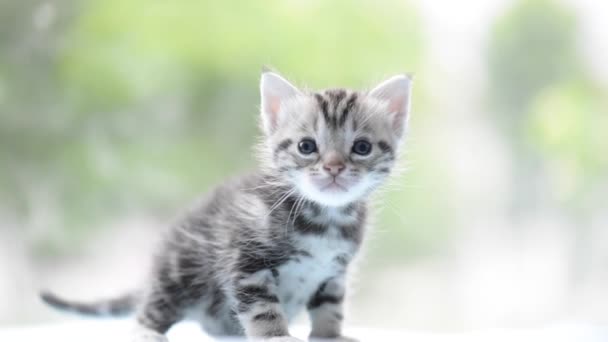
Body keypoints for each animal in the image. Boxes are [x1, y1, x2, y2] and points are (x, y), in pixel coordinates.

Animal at [41, 71, 414, 340]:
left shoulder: (334, 273)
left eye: (362, 147)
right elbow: (263, 308)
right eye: (307, 147)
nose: (334, 167)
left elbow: (330, 307)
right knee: (150, 311)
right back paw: (148, 333)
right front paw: (276, 336)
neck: (325, 219)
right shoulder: (246, 261)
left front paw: (330, 336)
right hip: (180, 270)